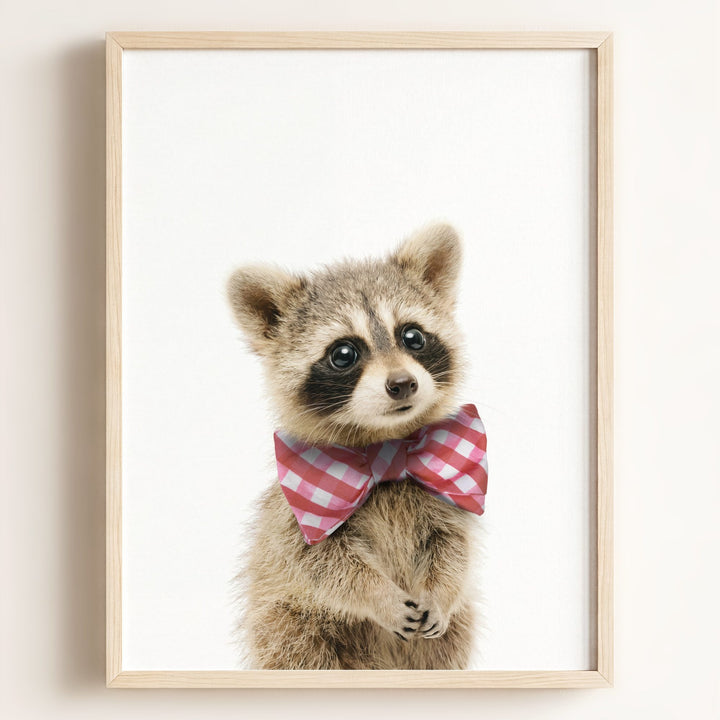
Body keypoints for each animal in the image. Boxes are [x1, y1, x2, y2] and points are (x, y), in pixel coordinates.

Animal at [227, 223, 479, 670]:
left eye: (412, 336)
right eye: (344, 353)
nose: (403, 384)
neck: (384, 448)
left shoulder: (445, 494)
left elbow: (453, 546)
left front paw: (440, 591)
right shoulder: (296, 514)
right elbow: (322, 565)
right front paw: (379, 596)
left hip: (453, 634)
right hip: (287, 623)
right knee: (296, 649)